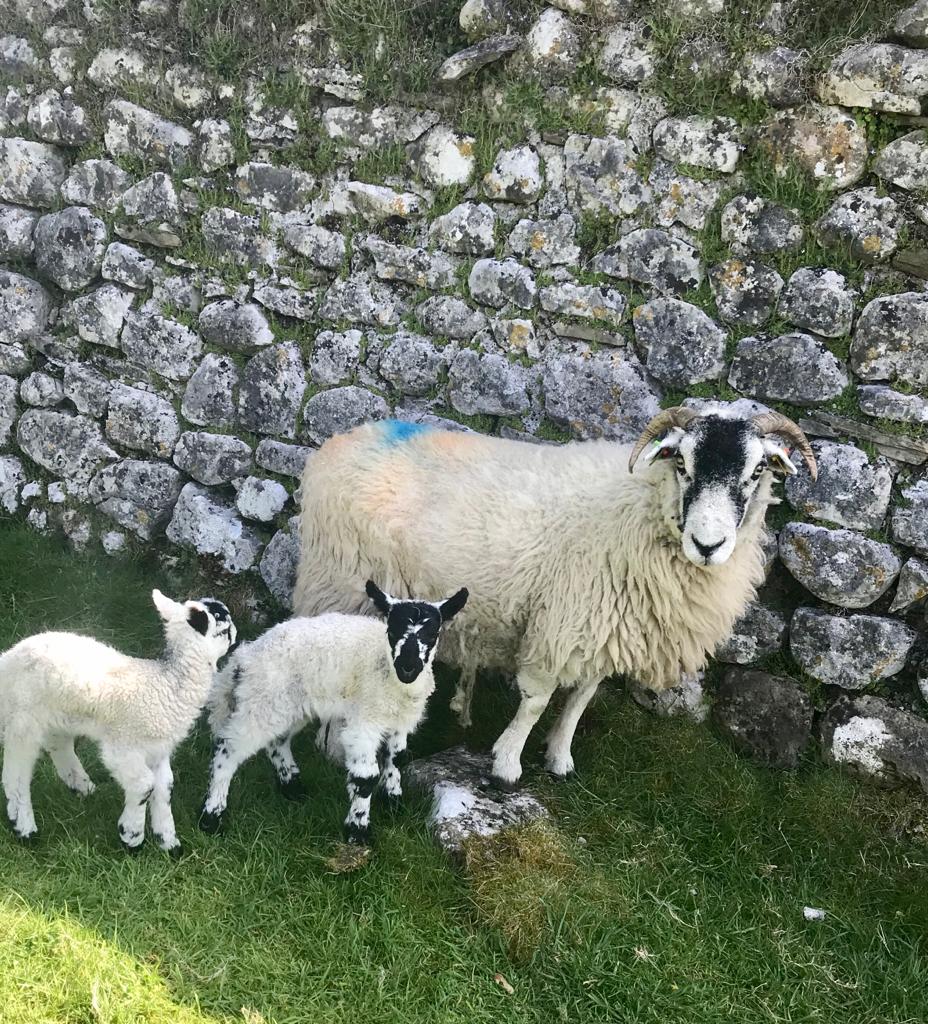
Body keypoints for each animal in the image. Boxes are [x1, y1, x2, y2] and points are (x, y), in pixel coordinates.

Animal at [0, 590, 235, 851]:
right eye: (222, 623)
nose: (236, 634)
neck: (166, 685)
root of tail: (6, 660)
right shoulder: (123, 747)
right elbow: (144, 785)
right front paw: (131, 837)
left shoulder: (158, 750)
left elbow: (165, 787)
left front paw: (168, 842)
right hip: (23, 719)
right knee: (15, 774)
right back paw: (24, 827)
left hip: (57, 712)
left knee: (58, 744)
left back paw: (82, 786)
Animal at [199, 580, 468, 844]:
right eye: (392, 631)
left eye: (432, 634)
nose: (408, 667)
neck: (388, 673)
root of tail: (244, 657)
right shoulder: (363, 721)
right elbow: (365, 777)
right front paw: (358, 830)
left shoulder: (400, 722)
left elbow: (397, 758)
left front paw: (393, 801)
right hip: (263, 700)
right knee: (228, 749)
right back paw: (211, 817)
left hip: (288, 704)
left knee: (277, 741)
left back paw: (292, 787)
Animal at [292, 407, 817, 788]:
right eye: (683, 464)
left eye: (756, 471)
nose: (709, 545)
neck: (641, 509)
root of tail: (336, 444)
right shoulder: (560, 622)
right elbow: (537, 700)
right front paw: (507, 764)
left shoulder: (610, 625)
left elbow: (582, 697)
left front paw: (560, 758)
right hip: (340, 581)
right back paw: (332, 748)